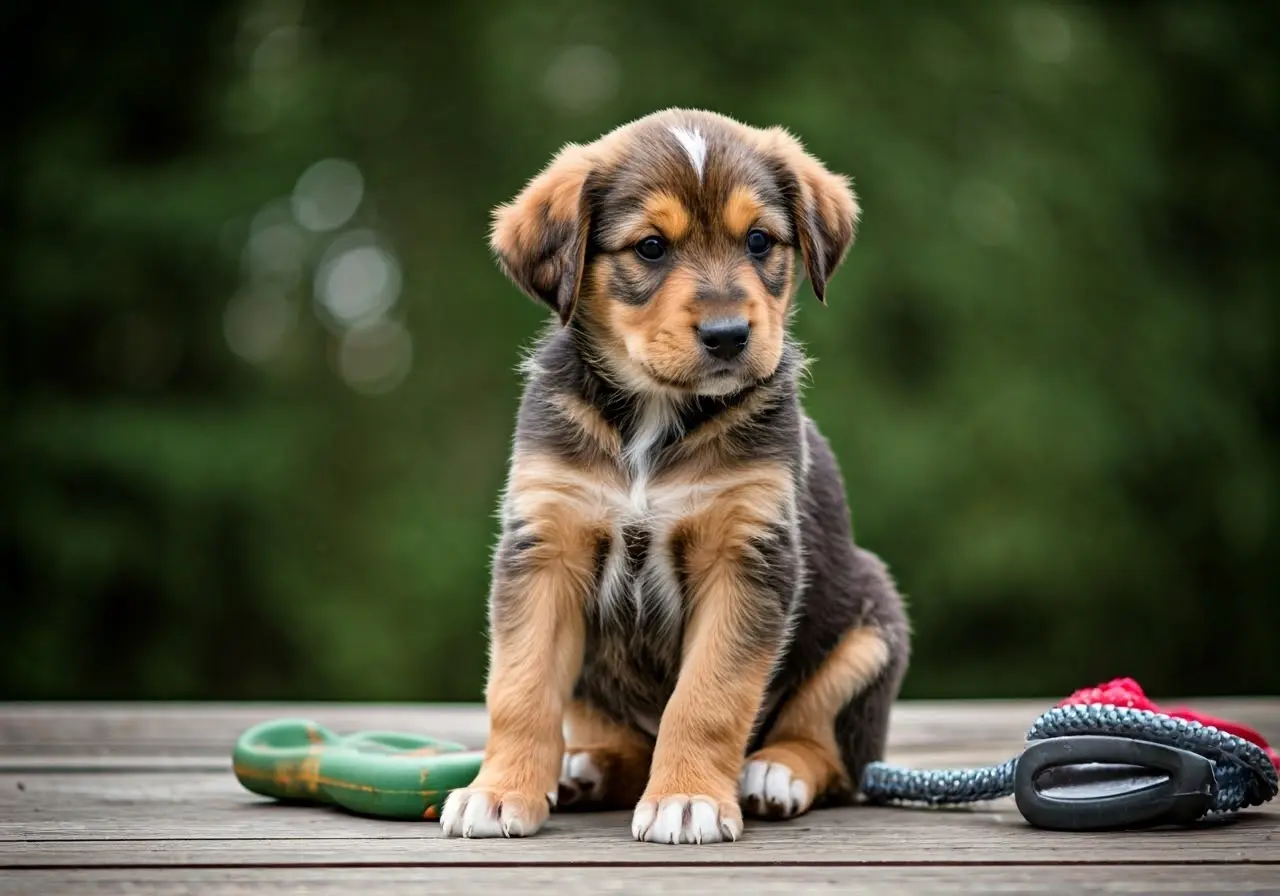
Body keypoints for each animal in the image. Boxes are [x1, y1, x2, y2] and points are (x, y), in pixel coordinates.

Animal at [440, 108, 911, 844]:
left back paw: (776, 773)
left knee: (830, 751)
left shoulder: (747, 555)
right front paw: (499, 792)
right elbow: (520, 690)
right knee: (624, 744)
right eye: (652, 248)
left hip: (871, 628)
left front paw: (687, 798)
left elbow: (708, 697)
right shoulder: (545, 548)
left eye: (759, 241)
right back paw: (584, 769)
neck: (653, 419)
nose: (727, 334)